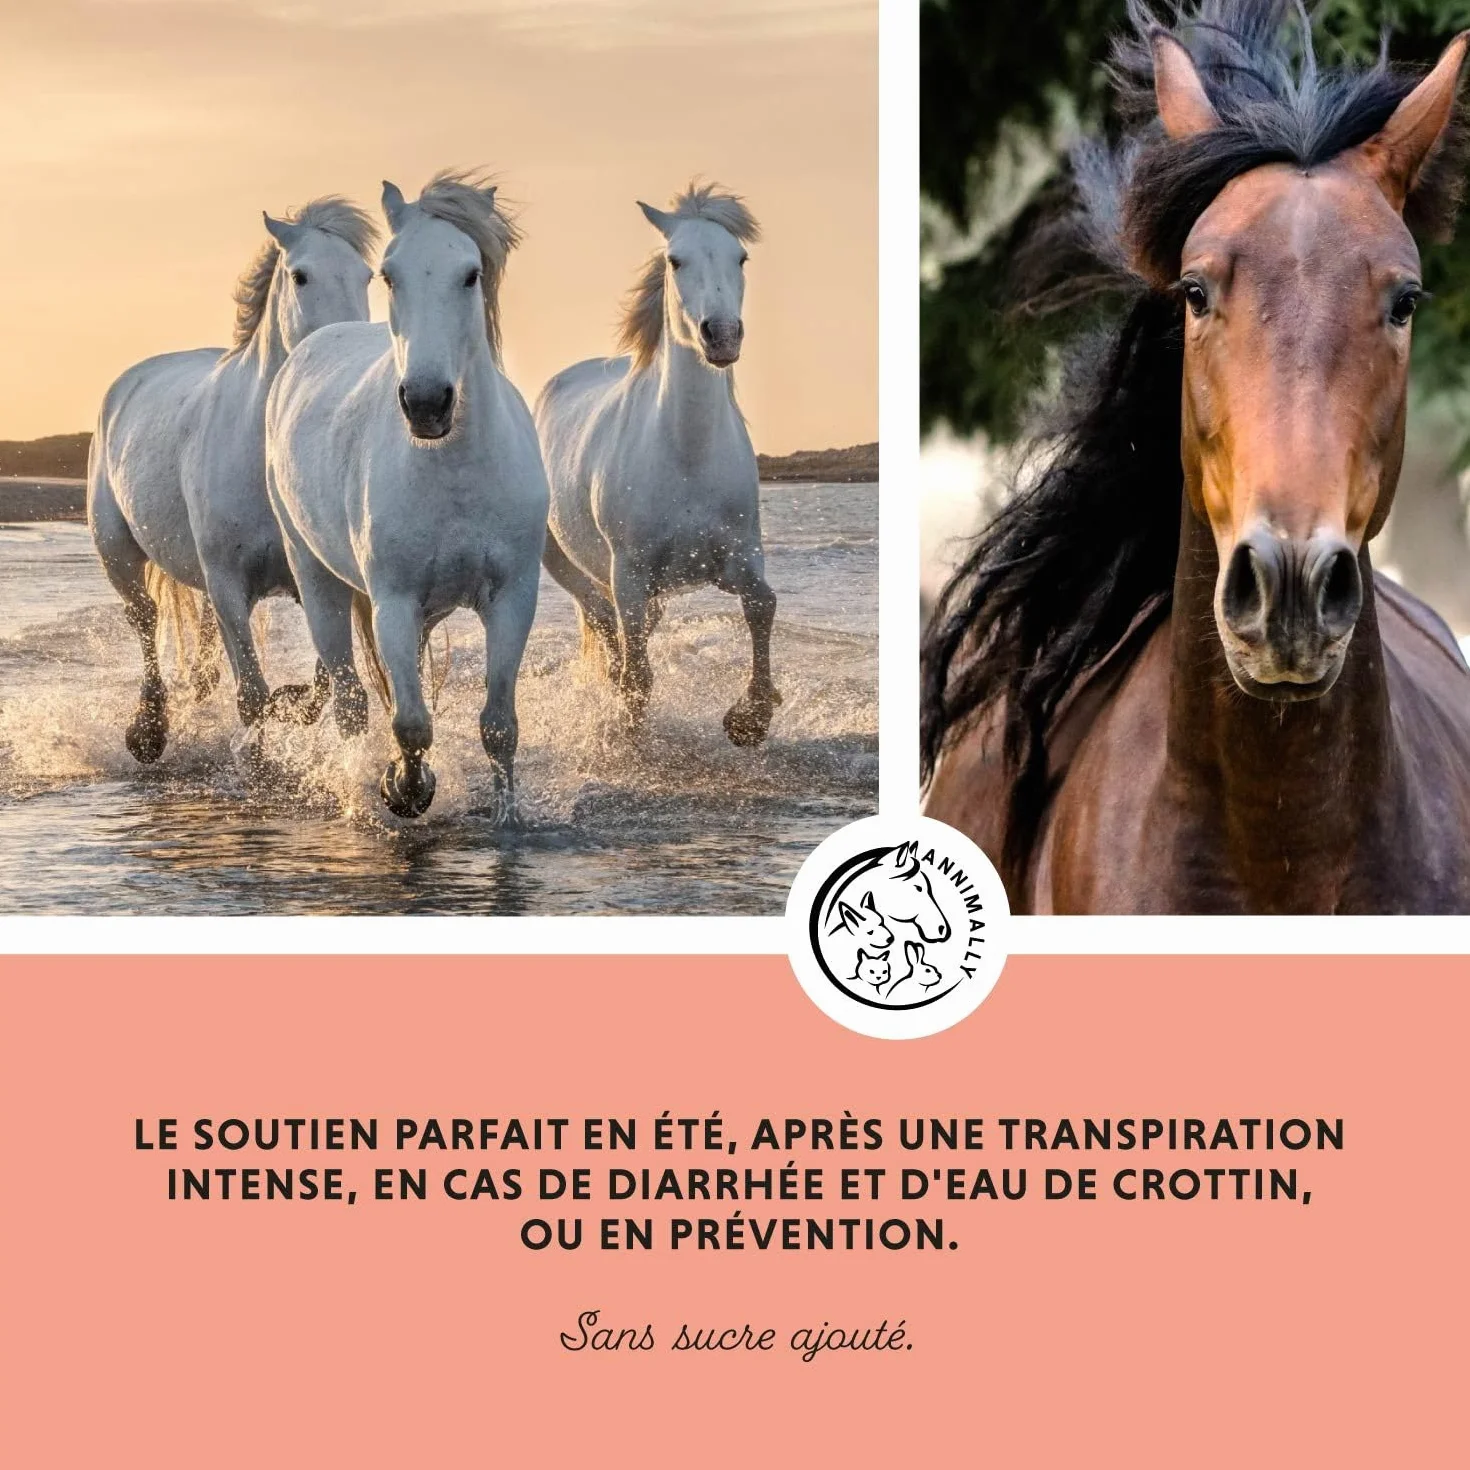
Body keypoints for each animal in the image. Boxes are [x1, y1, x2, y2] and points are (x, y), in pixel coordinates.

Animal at [88, 198, 377, 763]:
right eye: (300, 275)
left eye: (366, 276)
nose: (345, 351)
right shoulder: (228, 584)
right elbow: (251, 696)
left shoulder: (311, 578)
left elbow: (320, 682)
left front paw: (291, 705)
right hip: (118, 553)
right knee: (145, 620)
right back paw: (148, 731)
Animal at [265, 172, 548, 821]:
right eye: (389, 275)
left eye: (470, 273)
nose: (425, 402)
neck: (455, 471)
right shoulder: (392, 601)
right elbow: (411, 722)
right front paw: (405, 789)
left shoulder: (512, 598)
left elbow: (499, 725)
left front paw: (508, 817)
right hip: (317, 580)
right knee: (350, 698)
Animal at [534, 183, 778, 746]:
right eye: (675, 260)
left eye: (741, 257)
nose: (722, 335)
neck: (687, 455)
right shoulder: (630, 572)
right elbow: (637, 672)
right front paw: (631, 734)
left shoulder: (739, 556)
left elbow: (763, 604)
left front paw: (750, 718)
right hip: (567, 563)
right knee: (604, 621)